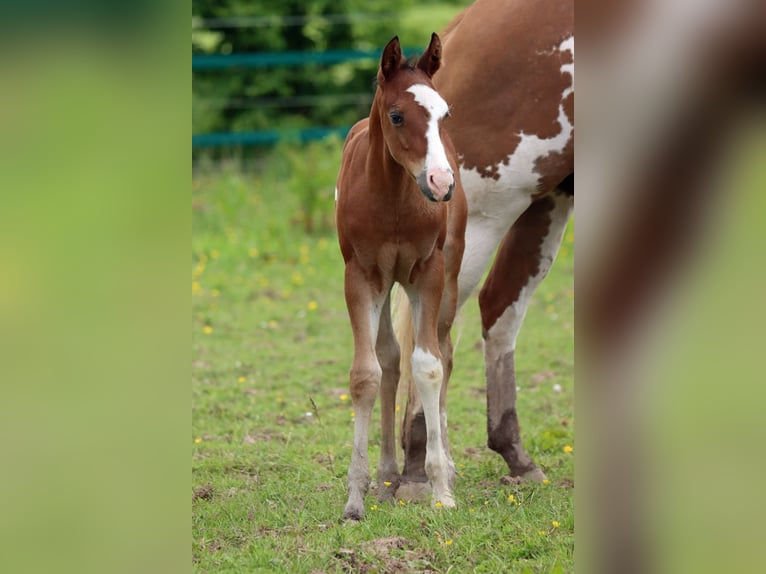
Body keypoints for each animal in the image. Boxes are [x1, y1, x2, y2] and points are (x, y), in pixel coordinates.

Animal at [336, 35, 468, 520]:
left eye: (444, 115)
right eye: (397, 116)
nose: (441, 182)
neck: (394, 196)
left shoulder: (428, 273)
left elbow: (428, 366)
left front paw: (440, 489)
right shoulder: (361, 276)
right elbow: (366, 374)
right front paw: (355, 496)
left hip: (450, 275)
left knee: (444, 352)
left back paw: (443, 464)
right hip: (385, 281)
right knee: (390, 359)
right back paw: (388, 473)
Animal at [400, 0, 572, 496]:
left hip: (549, 197)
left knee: (498, 305)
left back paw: (510, 454)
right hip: (484, 216)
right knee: (439, 334)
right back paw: (419, 468)